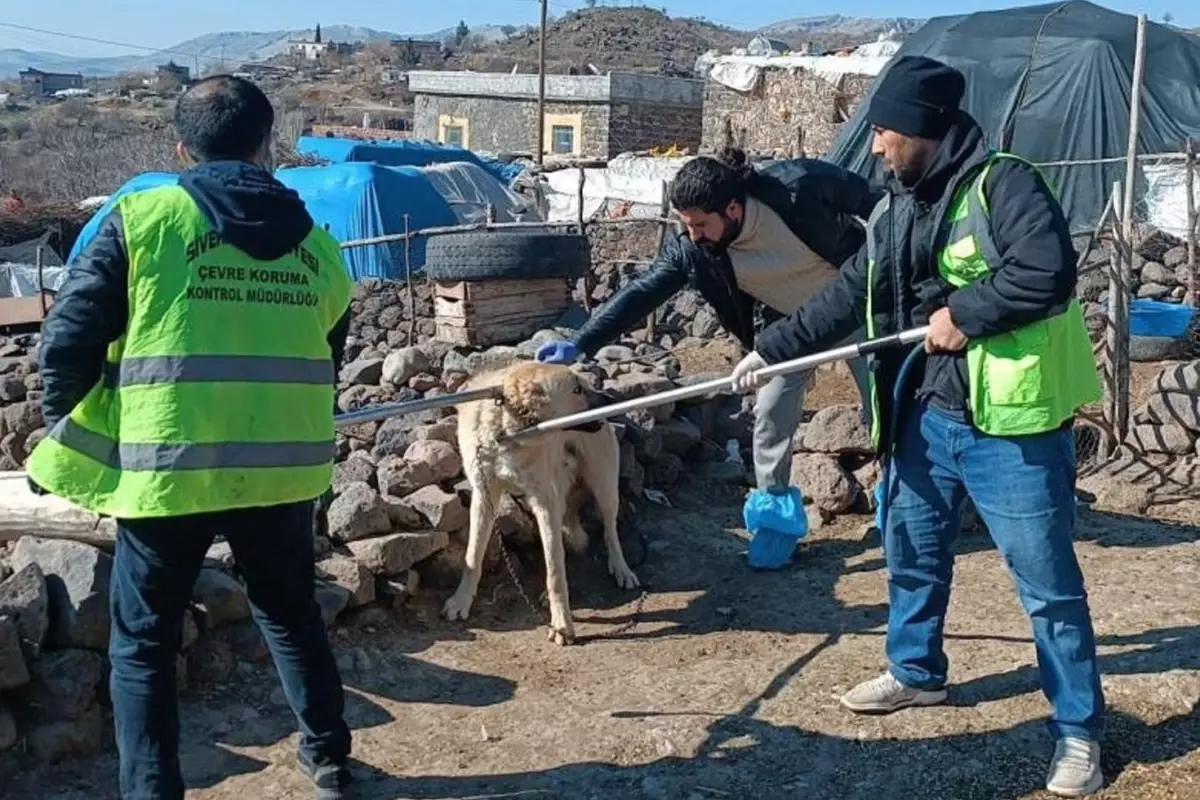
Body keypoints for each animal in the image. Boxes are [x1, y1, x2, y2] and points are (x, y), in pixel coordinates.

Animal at [446, 362, 643, 642]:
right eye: (576, 389)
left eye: (583, 385)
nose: (613, 400)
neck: (506, 432)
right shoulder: (484, 497)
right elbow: (473, 556)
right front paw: (461, 600)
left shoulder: (544, 501)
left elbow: (555, 572)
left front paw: (562, 624)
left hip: (604, 487)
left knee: (610, 532)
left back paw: (621, 568)